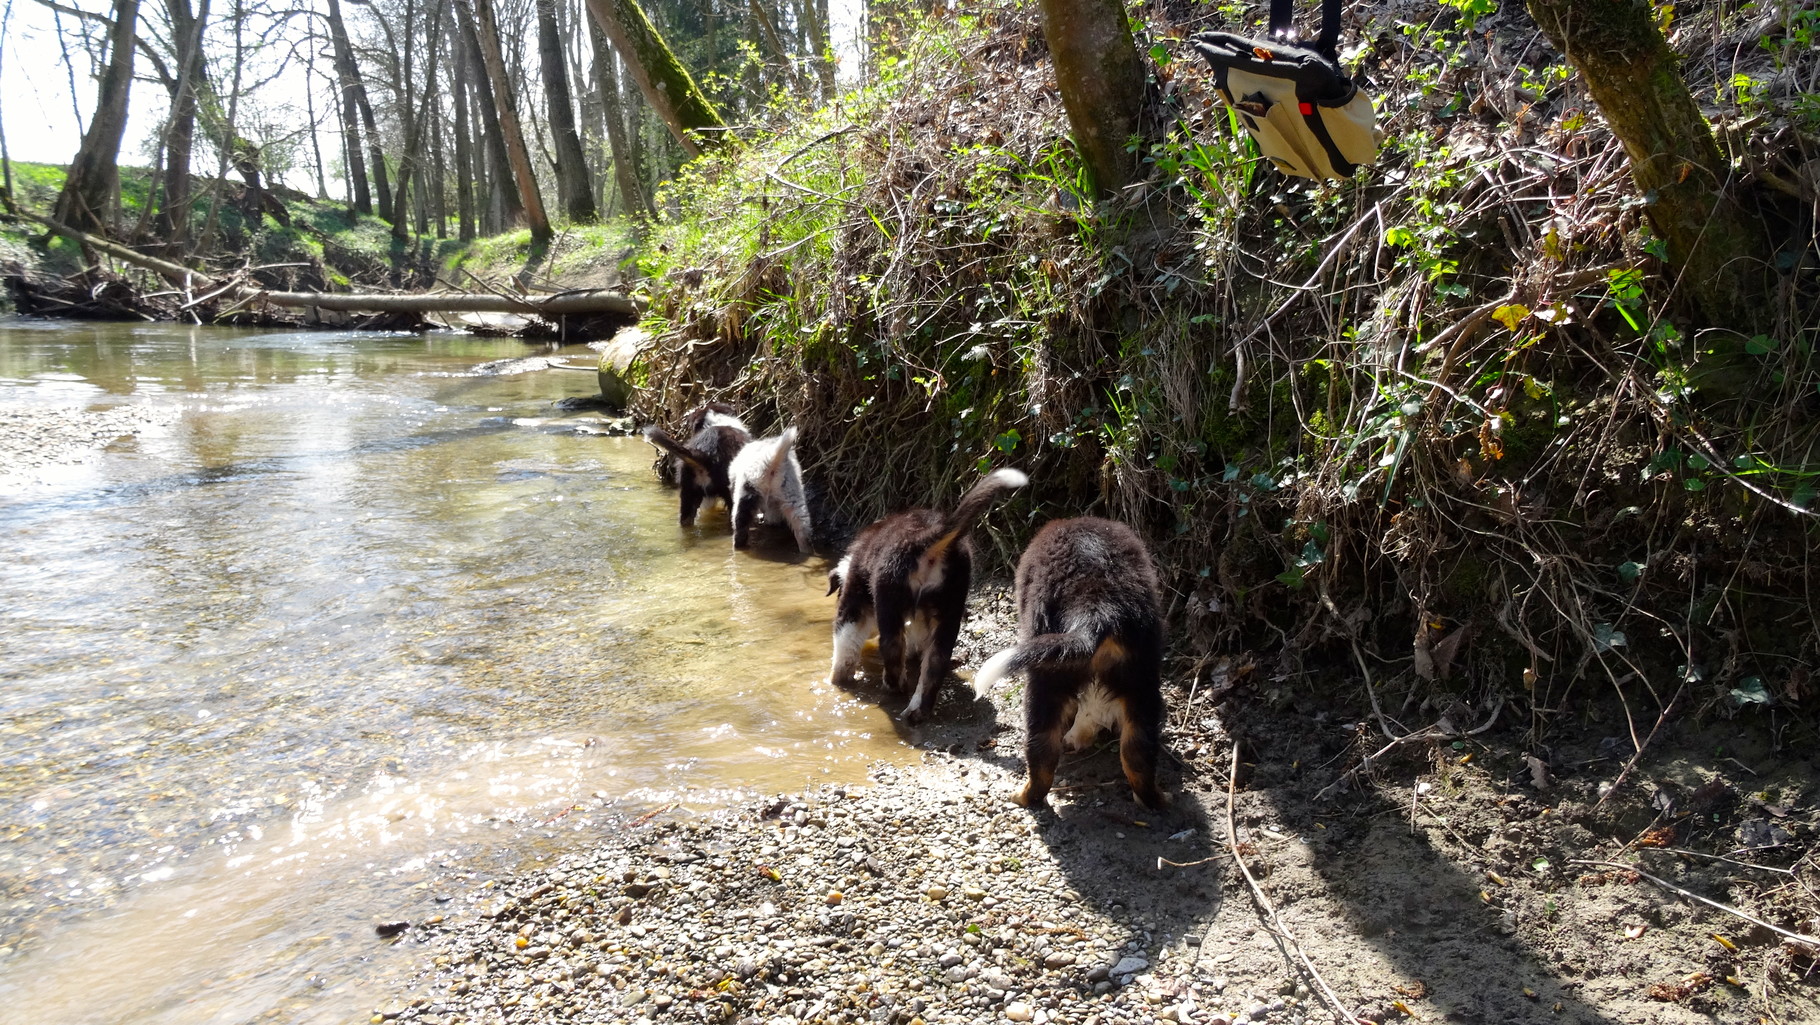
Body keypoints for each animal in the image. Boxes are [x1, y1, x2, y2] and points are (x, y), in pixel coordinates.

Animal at [826, 469, 1026, 724]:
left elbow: (845, 645)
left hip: (889, 599)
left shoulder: (854, 603)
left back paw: (894, 686)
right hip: (949, 607)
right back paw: (917, 710)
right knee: (935, 662)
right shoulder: (922, 616)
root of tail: (928, 538)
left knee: (892, 647)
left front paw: (837, 680)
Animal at [982, 517, 1164, 815]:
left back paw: (1024, 796)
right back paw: (1154, 799)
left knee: (1042, 750)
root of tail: (1095, 611)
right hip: (1142, 680)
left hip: (1046, 678)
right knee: (1138, 751)